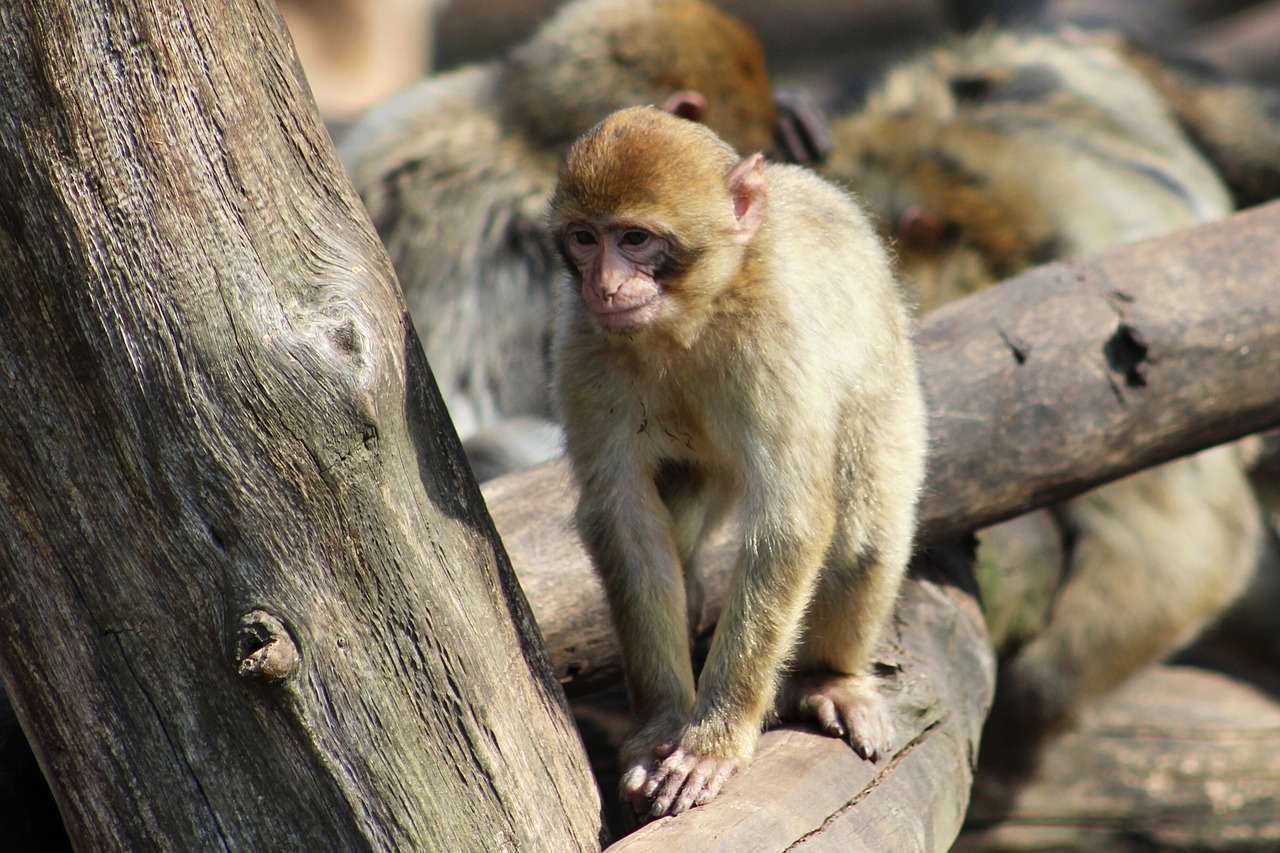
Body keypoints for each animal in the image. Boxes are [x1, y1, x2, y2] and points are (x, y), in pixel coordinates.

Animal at [550, 103, 931, 819]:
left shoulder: (771, 338)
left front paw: (714, 741)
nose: (604, 284)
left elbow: (791, 521)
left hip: (893, 399)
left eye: (635, 239)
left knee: (863, 538)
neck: (691, 317)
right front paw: (660, 726)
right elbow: (625, 518)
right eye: (586, 238)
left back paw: (827, 678)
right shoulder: (586, 350)